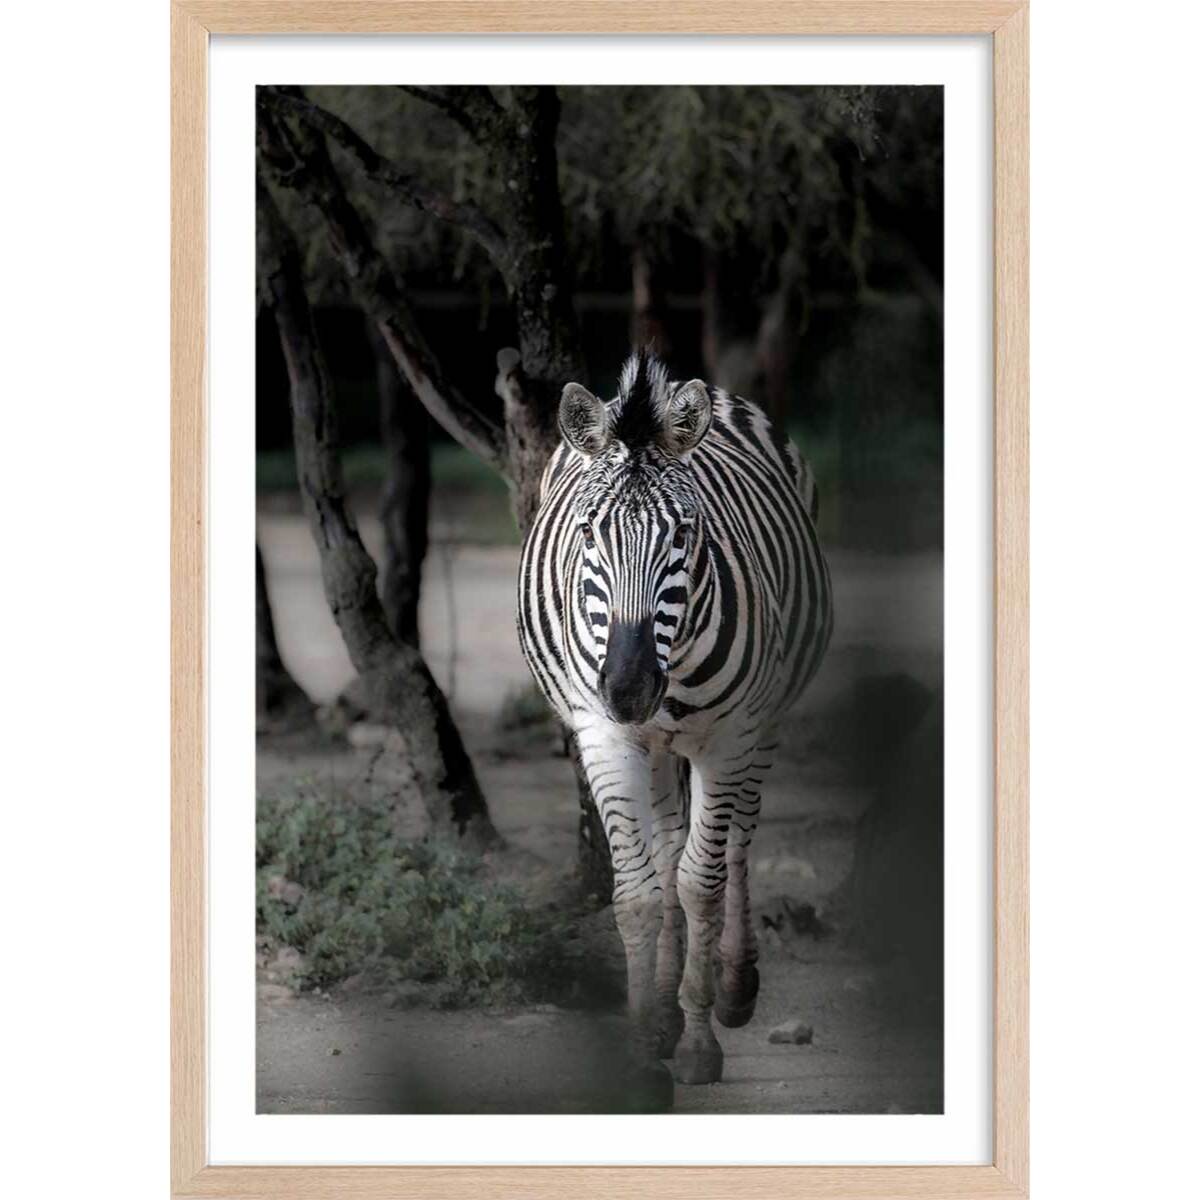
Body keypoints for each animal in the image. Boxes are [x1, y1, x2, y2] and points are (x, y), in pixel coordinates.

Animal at [517, 350, 833, 1109]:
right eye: (587, 534)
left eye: (684, 536)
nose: (630, 688)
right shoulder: (605, 735)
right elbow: (638, 895)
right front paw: (643, 1052)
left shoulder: (729, 738)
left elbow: (701, 883)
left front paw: (697, 1044)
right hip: (655, 747)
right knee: (664, 850)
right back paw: (661, 1011)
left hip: (763, 722)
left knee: (739, 841)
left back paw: (734, 988)